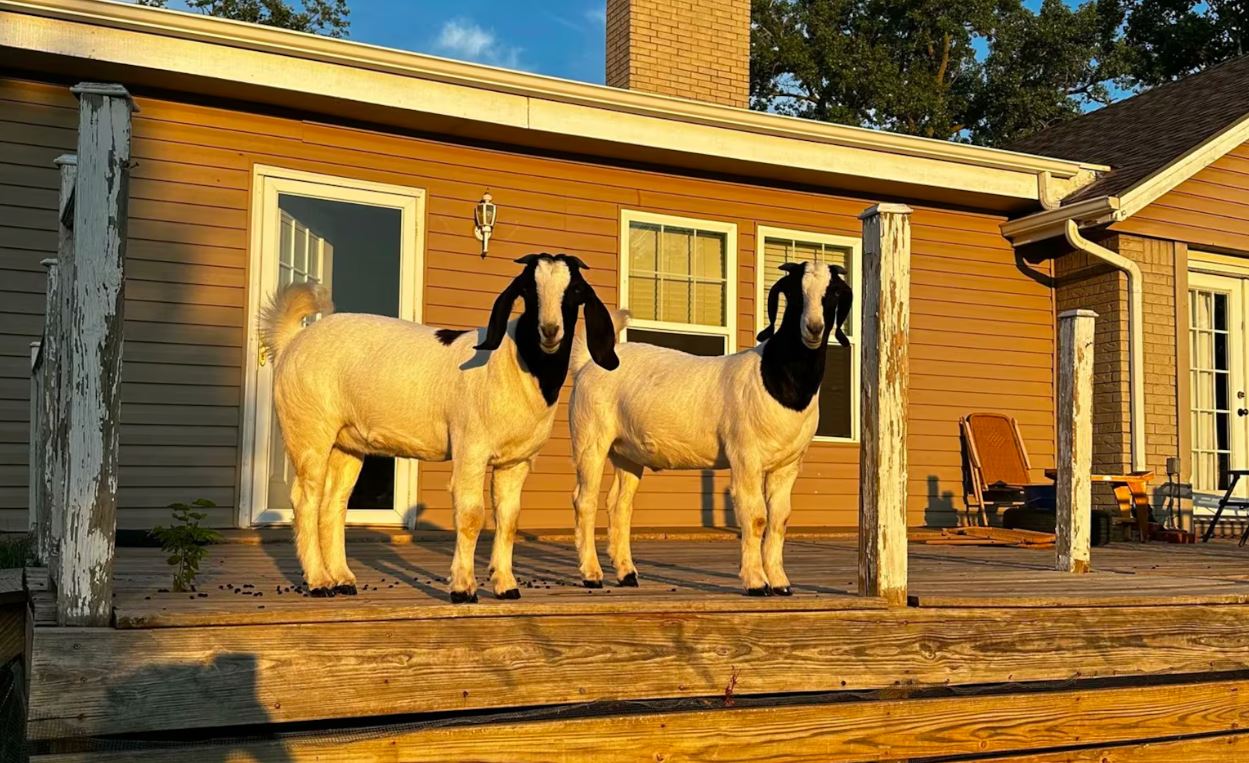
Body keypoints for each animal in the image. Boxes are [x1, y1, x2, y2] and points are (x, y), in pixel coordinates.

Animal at [259, 253, 619, 602]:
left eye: (575, 292)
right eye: (528, 290)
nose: (550, 330)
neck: (517, 363)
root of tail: (292, 341)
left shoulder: (516, 461)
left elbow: (509, 519)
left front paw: (506, 586)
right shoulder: (471, 447)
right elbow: (472, 515)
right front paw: (463, 588)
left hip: (347, 444)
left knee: (334, 503)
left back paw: (342, 579)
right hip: (309, 429)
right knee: (305, 499)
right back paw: (318, 582)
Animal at [568, 262, 852, 594]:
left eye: (833, 293)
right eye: (794, 292)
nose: (814, 328)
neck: (774, 377)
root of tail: (588, 363)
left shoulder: (788, 465)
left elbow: (779, 519)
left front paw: (781, 583)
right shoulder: (745, 457)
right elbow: (756, 517)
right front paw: (756, 583)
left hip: (627, 452)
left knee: (619, 505)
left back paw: (627, 574)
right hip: (590, 439)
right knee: (585, 501)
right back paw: (592, 574)